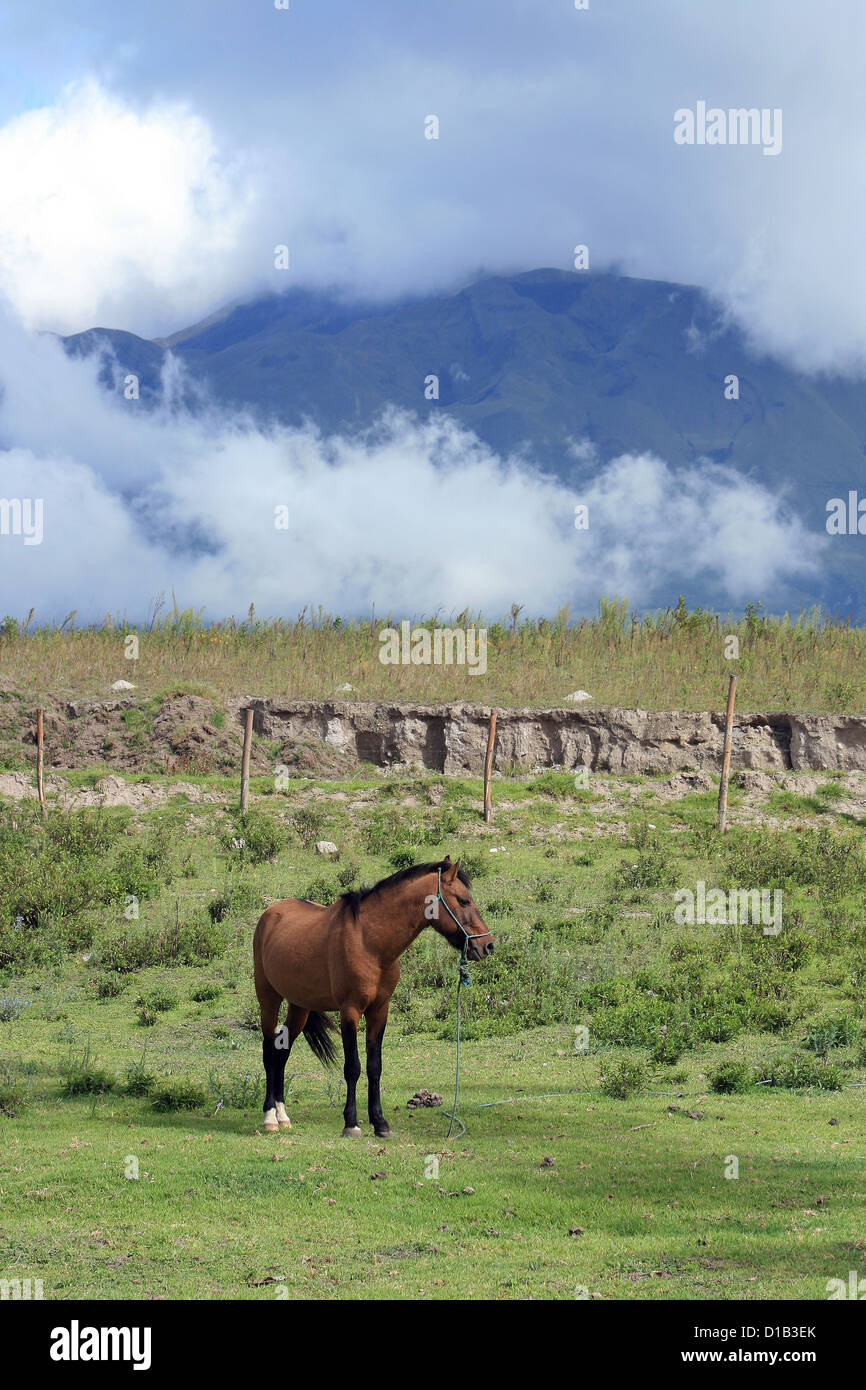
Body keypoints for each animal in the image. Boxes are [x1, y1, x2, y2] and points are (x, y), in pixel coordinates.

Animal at [252, 856, 494, 1139]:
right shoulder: (350, 1011)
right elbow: (353, 1067)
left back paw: (282, 1116)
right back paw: (269, 1117)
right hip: (268, 999)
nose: (487, 945)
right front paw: (351, 1123)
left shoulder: (380, 1010)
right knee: (269, 1054)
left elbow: (374, 1067)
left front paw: (380, 1123)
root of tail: (271, 914)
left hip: (299, 1007)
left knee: (282, 1053)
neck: (370, 943)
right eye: (464, 900)